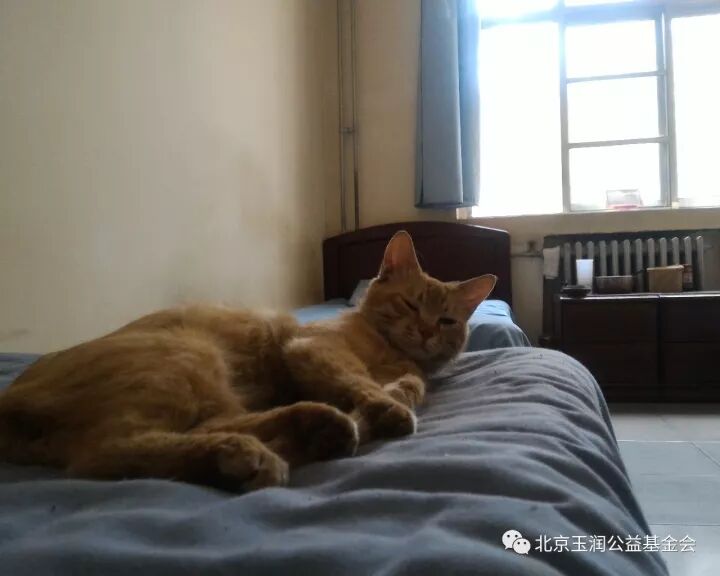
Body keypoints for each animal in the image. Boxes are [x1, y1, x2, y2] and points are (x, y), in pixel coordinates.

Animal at [0, 231, 496, 491]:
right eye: (411, 305)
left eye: (447, 320)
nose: (427, 331)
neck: (390, 351)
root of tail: (12, 398)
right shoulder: (314, 349)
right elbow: (360, 381)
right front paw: (387, 406)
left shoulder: (407, 372)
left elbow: (410, 386)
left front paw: (395, 397)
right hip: (186, 360)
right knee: (110, 450)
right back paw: (253, 453)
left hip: (210, 389)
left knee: (202, 429)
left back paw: (311, 432)